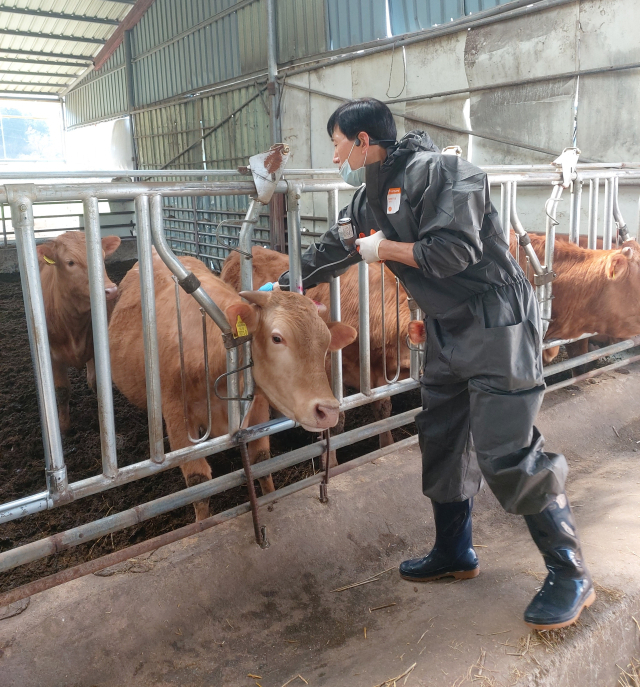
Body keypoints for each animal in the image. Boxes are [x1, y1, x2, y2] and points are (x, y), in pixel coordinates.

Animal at [37, 234, 122, 432]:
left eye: (103, 257)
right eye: (70, 262)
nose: (111, 290)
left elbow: (99, 383)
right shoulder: (53, 354)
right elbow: (61, 390)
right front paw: (64, 426)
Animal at [111, 253, 360, 520]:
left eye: (325, 343)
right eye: (277, 338)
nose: (329, 411)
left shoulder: (258, 407)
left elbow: (262, 461)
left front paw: (271, 499)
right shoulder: (177, 419)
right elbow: (198, 483)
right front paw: (202, 524)